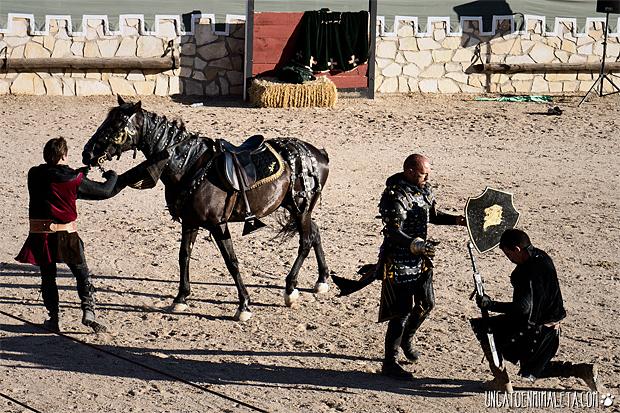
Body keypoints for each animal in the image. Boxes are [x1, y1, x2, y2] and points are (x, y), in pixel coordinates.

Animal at [85, 96, 332, 318]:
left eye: (116, 125)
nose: (87, 152)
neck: (190, 166)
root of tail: (318, 154)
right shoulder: (190, 222)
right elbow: (183, 255)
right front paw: (181, 298)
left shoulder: (218, 224)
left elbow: (231, 261)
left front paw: (244, 305)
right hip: (296, 207)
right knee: (315, 233)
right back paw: (321, 280)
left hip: (300, 208)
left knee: (306, 241)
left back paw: (290, 290)